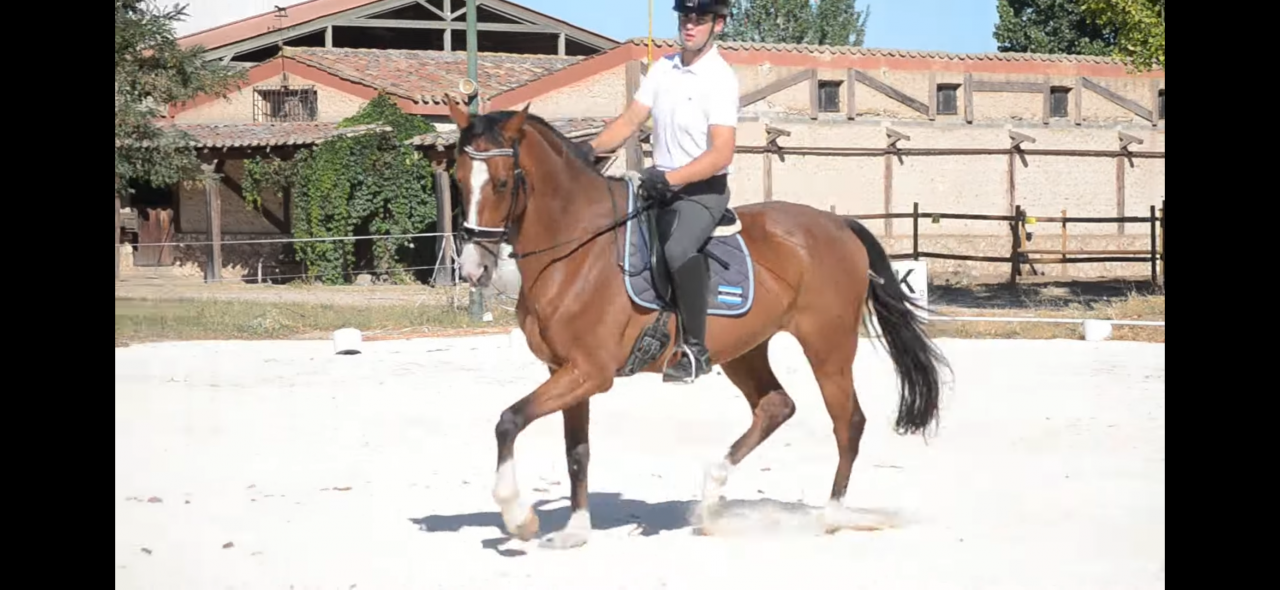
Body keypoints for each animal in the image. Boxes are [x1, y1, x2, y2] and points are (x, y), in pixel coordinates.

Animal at [446, 95, 951, 549]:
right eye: (459, 179)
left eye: (503, 183)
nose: (474, 269)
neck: (575, 250)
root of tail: (840, 225)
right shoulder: (565, 371)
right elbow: (576, 452)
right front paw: (574, 530)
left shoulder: (590, 372)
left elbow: (509, 421)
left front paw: (518, 516)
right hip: (745, 349)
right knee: (775, 407)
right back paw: (709, 497)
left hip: (828, 345)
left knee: (848, 422)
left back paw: (831, 514)